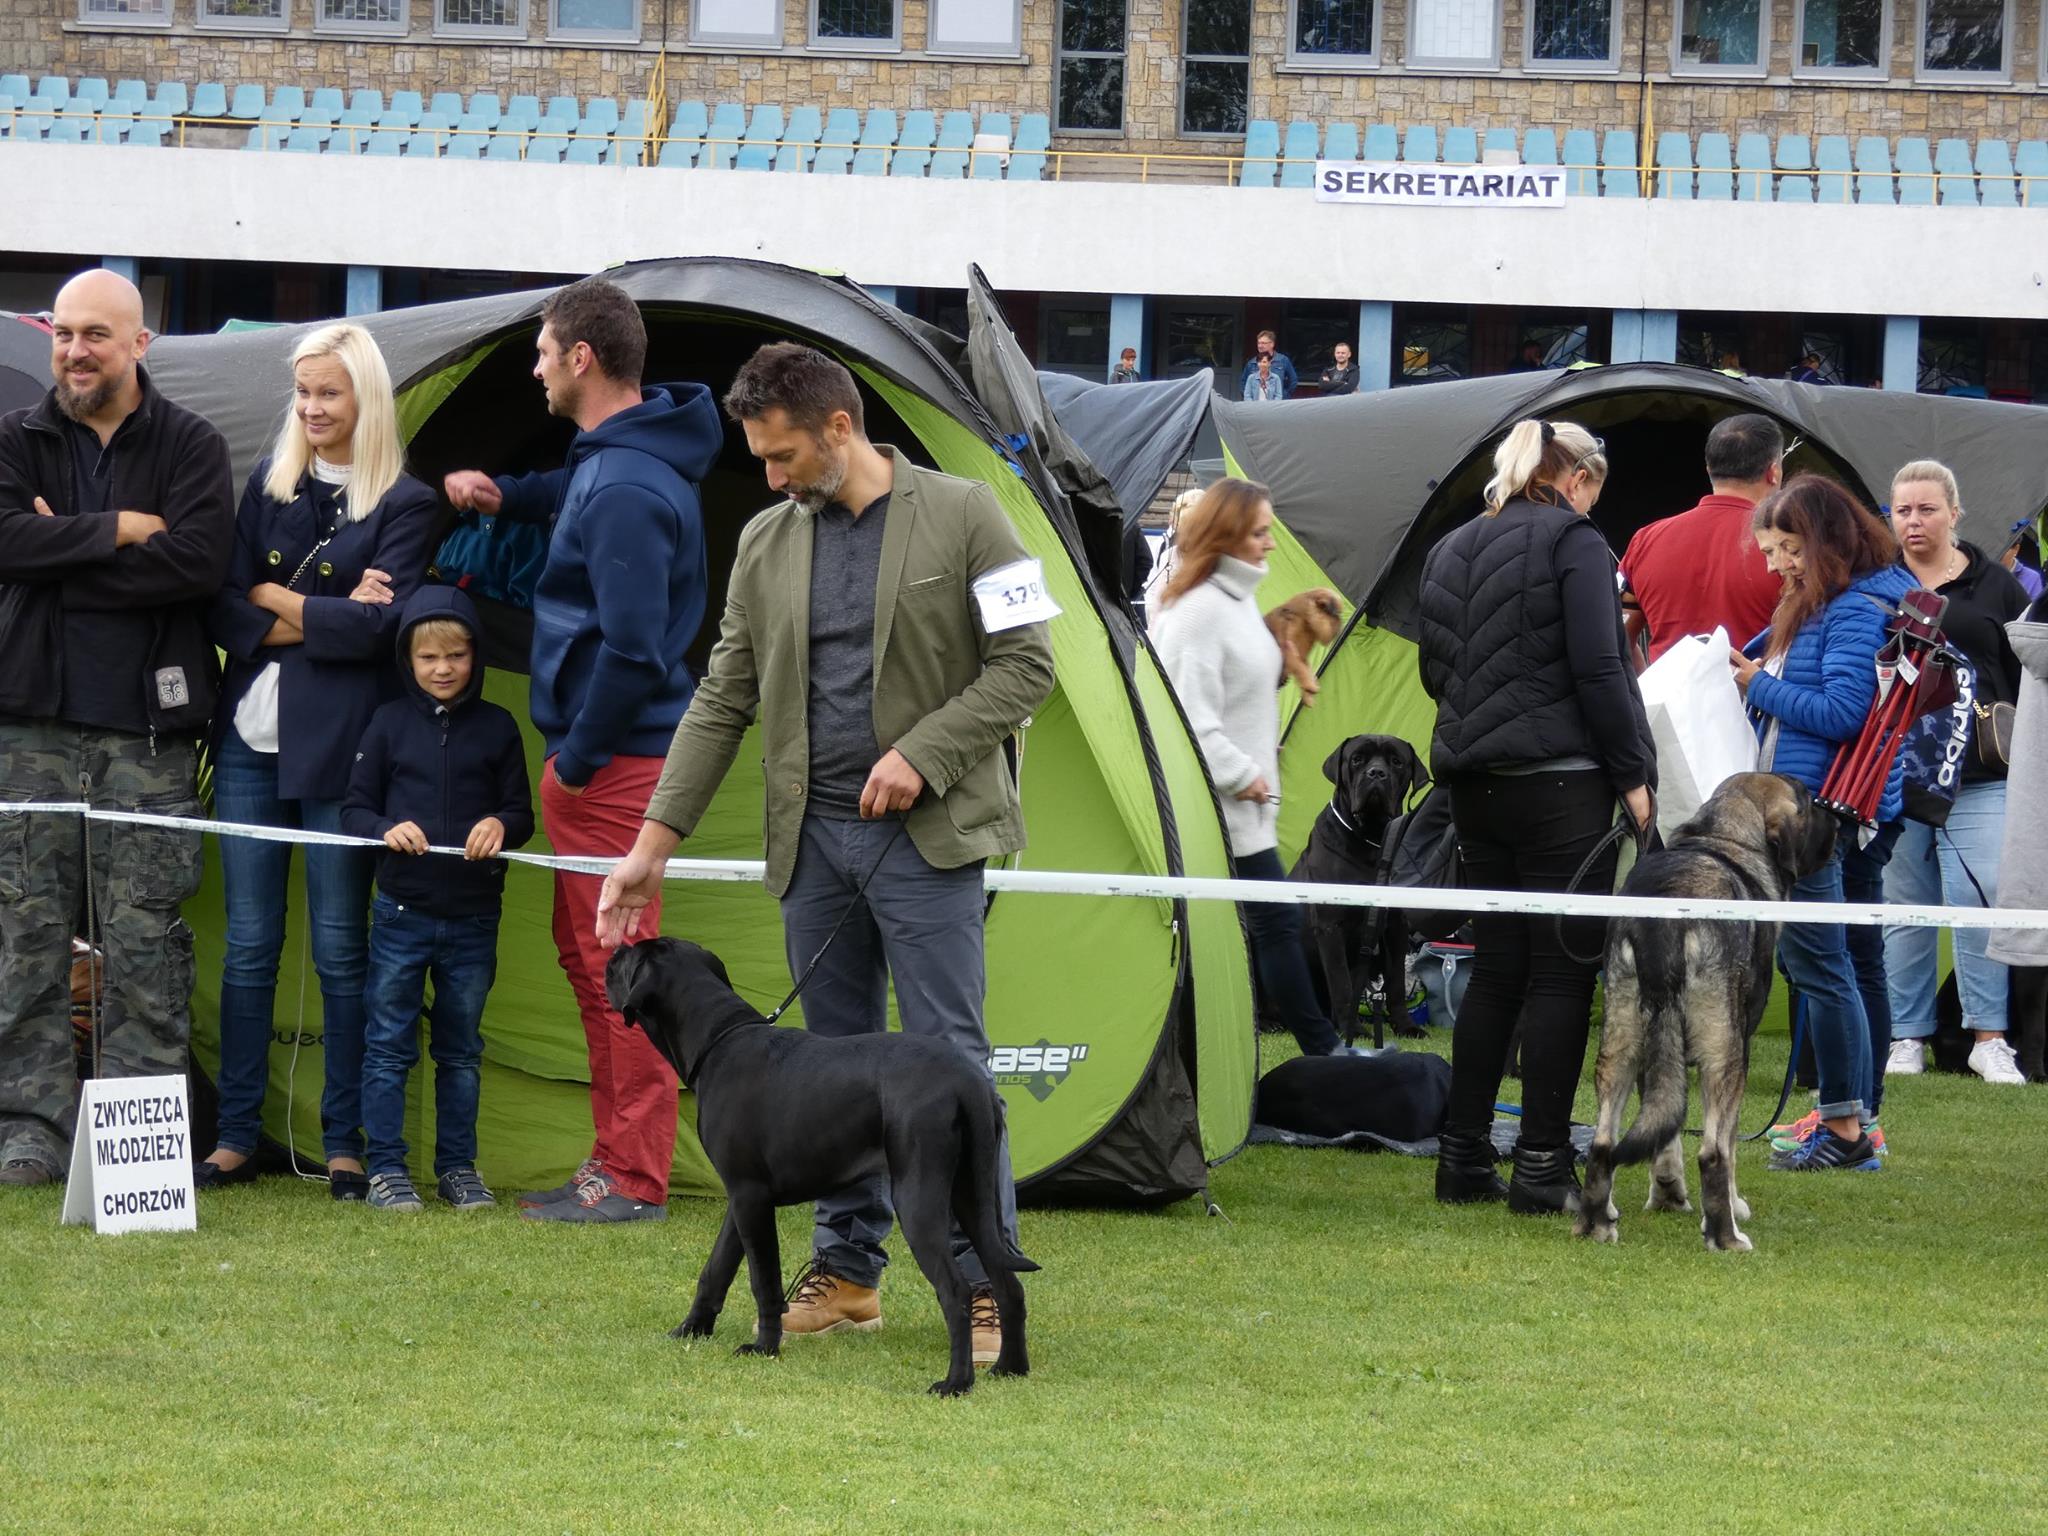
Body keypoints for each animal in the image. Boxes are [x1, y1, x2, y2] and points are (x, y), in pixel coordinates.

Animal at [598, 937, 1032, 1392]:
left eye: (627, 958)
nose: (612, 950)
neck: (719, 1040)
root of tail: (967, 1082)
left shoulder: (751, 1198)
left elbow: (764, 1280)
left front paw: (764, 1347)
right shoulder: (740, 1198)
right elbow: (715, 1269)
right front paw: (691, 1330)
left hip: (919, 1199)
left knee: (956, 1290)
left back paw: (955, 1383)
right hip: (974, 1197)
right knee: (1009, 1285)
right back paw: (1010, 1367)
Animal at [1286, 737, 1433, 1048]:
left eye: (1396, 761)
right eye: (1357, 759)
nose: (1376, 774)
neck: (1372, 839)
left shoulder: (1395, 927)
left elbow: (1395, 983)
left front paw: (1405, 1026)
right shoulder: (1330, 926)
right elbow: (1341, 983)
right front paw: (1352, 1030)